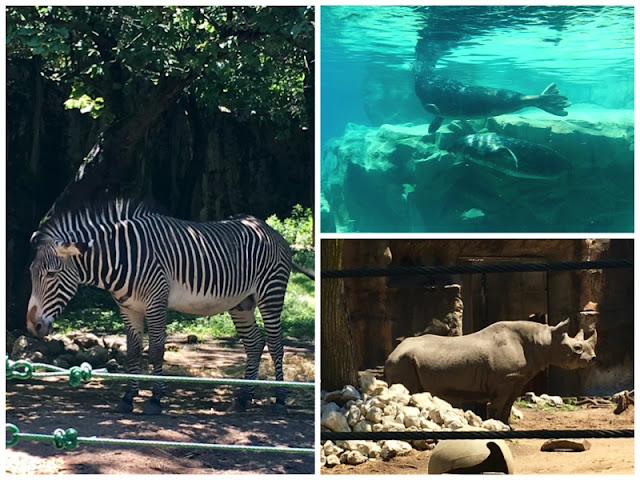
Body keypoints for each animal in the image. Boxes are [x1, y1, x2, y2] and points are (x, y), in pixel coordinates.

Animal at [27, 199, 312, 412]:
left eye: (51, 274)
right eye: (31, 273)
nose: (33, 326)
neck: (121, 258)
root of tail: (268, 228)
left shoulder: (156, 302)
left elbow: (155, 351)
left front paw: (154, 400)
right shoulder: (129, 308)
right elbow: (133, 352)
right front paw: (127, 398)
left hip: (271, 293)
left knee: (275, 344)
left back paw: (280, 401)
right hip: (242, 303)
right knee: (254, 343)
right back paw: (243, 398)